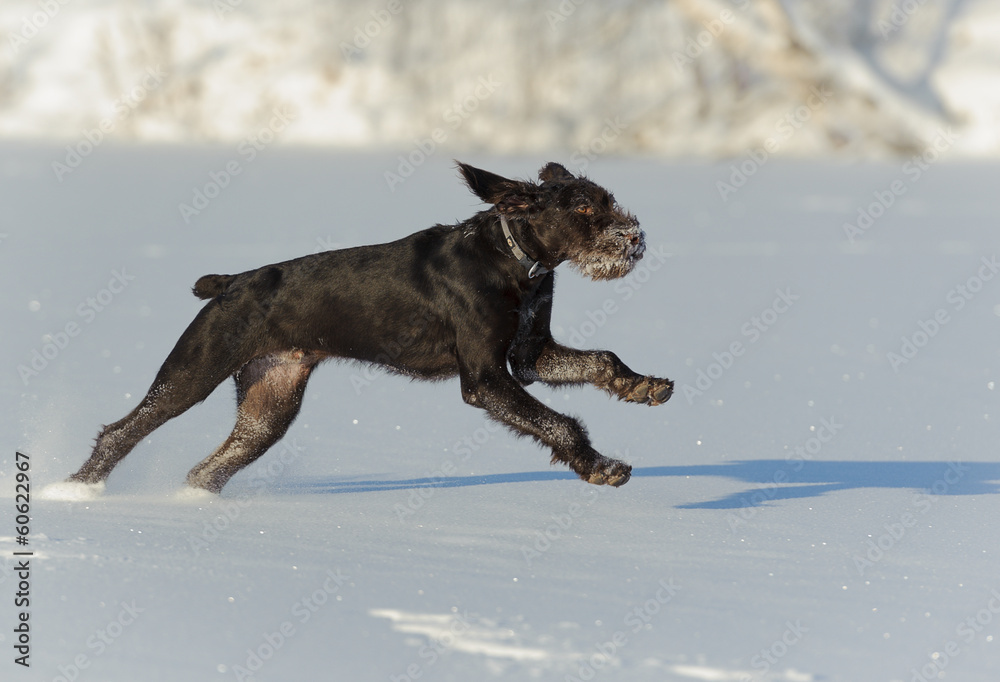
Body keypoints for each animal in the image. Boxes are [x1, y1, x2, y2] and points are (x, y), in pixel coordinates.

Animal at [68, 162, 672, 492]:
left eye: (609, 201)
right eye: (584, 210)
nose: (634, 238)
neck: (511, 258)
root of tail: (233, 282)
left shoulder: (529, 356)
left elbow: (601, 361)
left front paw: (641, 386)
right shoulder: (485, 379)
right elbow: (558, 424)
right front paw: (599, 466)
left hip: (270, 404)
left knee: (209, 469)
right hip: (193, 372)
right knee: (121, 432)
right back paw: (76, 495)